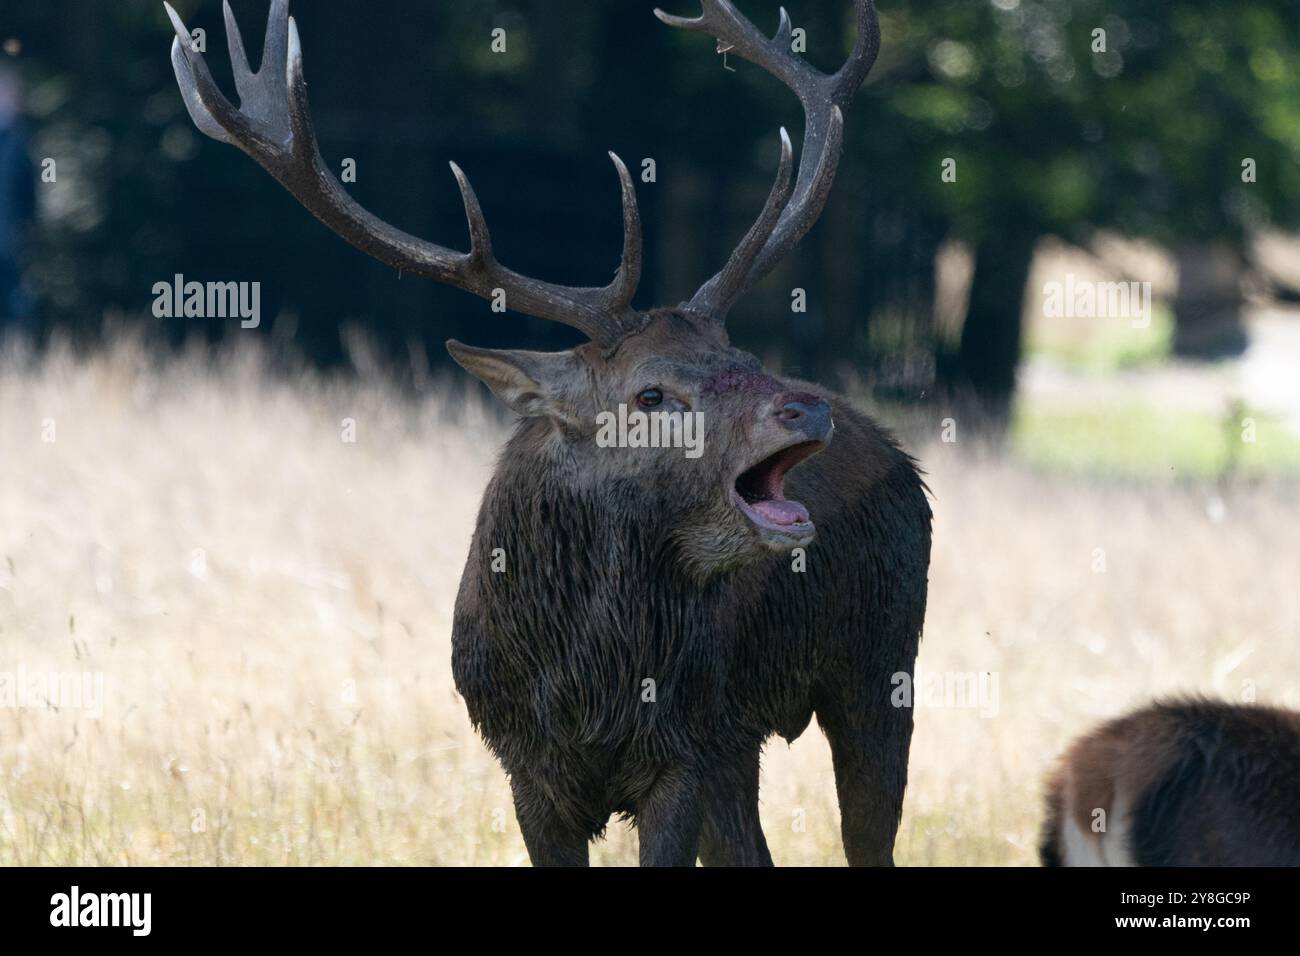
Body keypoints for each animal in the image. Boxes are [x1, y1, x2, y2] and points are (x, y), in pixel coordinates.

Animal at [165, 0, 931, 866]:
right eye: (651, 393)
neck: (587, 682)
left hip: (880, 667)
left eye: (745, 358)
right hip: (747, 739)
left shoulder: (684, 753)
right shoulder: (525, 766)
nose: (805, 407)